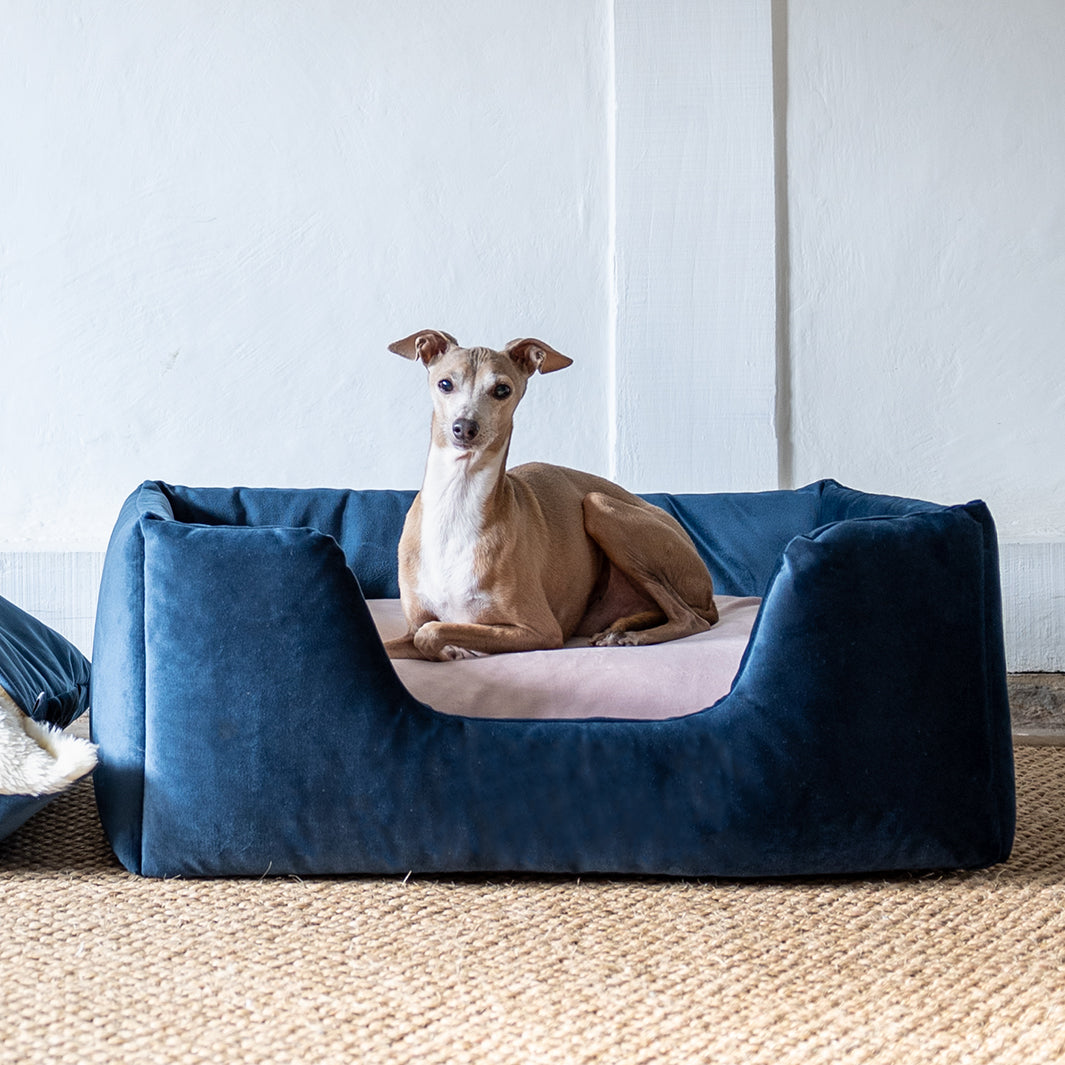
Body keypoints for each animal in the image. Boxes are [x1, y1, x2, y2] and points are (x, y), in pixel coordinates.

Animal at [379, 328, 719, 660]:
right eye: (445, 384)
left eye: (502, 390)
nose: (464, 427)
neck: (456, 501)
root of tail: (708, 594)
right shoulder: (413, 624)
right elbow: (412, 636)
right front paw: (452, 650)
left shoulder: (540, 629)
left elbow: (432, 632)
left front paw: (452, 650)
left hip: (600, 507)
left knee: (690, 619)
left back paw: (632, 636)